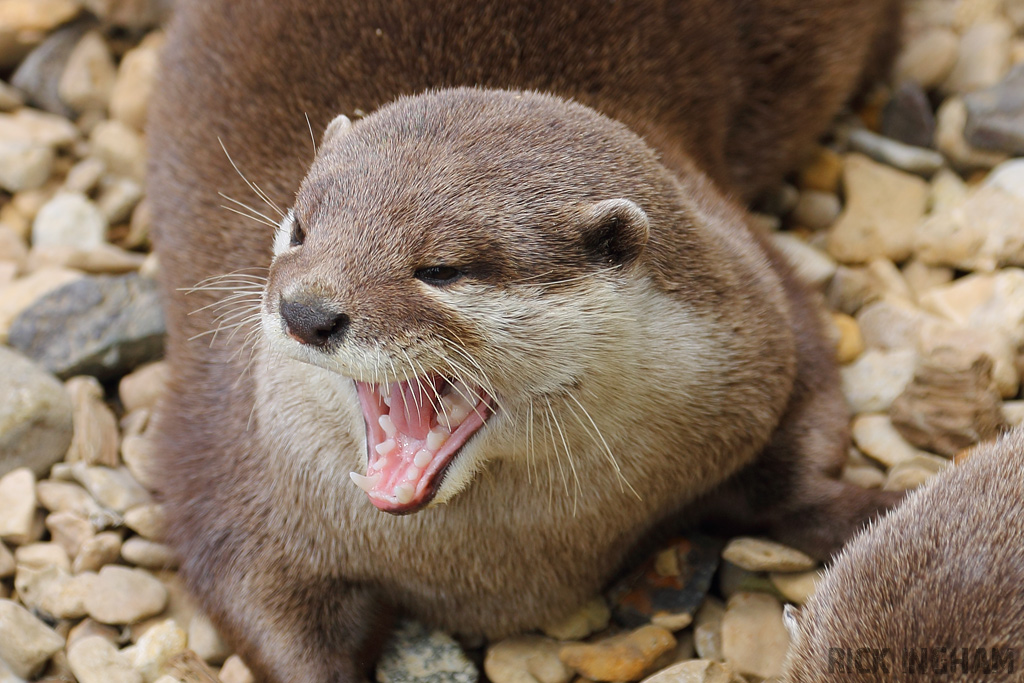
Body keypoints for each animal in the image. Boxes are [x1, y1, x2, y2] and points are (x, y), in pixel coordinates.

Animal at [148, 2, 901, 679]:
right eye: (300, 229)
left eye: (440, 269)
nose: (306, 310)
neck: (504, 569)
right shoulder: (233, 463)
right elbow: (254, 593)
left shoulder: (765, 314)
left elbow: (805, 446)